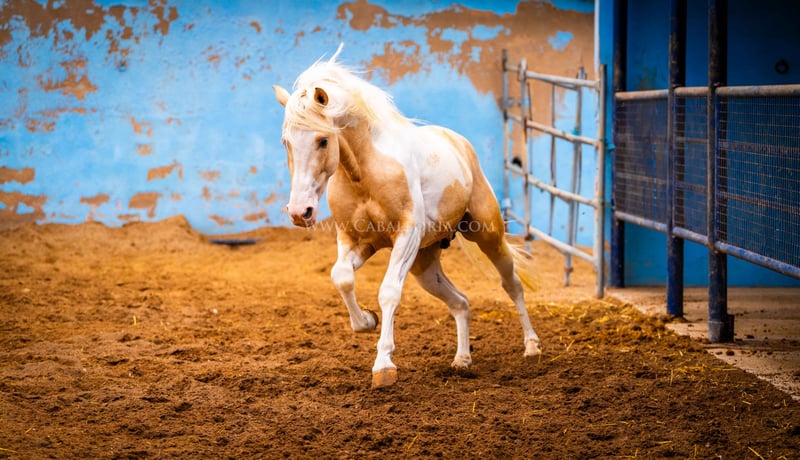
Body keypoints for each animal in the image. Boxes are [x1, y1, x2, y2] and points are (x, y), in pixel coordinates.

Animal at [273, 45, 541, 388]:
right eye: (286, 142)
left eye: (322, 139)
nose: (299, 212)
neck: (364, 173)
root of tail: (459, 143)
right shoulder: (357, 240)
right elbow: (341, 277)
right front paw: (367, 320)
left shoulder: (406, 235)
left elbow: (388, 292)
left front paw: (384, 366)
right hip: (424, 264)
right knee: (461, 302)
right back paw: (462, 360)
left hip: (487, 235)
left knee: (512, 284)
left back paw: (531, 346)